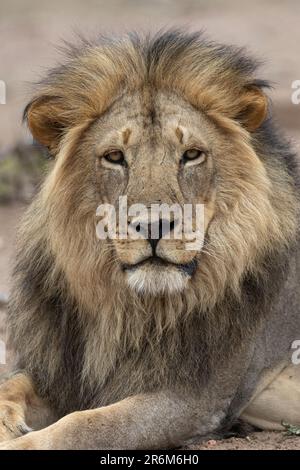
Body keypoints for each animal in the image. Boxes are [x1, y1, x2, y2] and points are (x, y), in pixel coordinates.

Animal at [0, 29, 300, 448]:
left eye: (191, 154)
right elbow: (12, 385)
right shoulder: (59, 370)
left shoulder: (194, 399)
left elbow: (87, 425)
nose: (154, 225)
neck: (130, 308)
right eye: (114, 157)